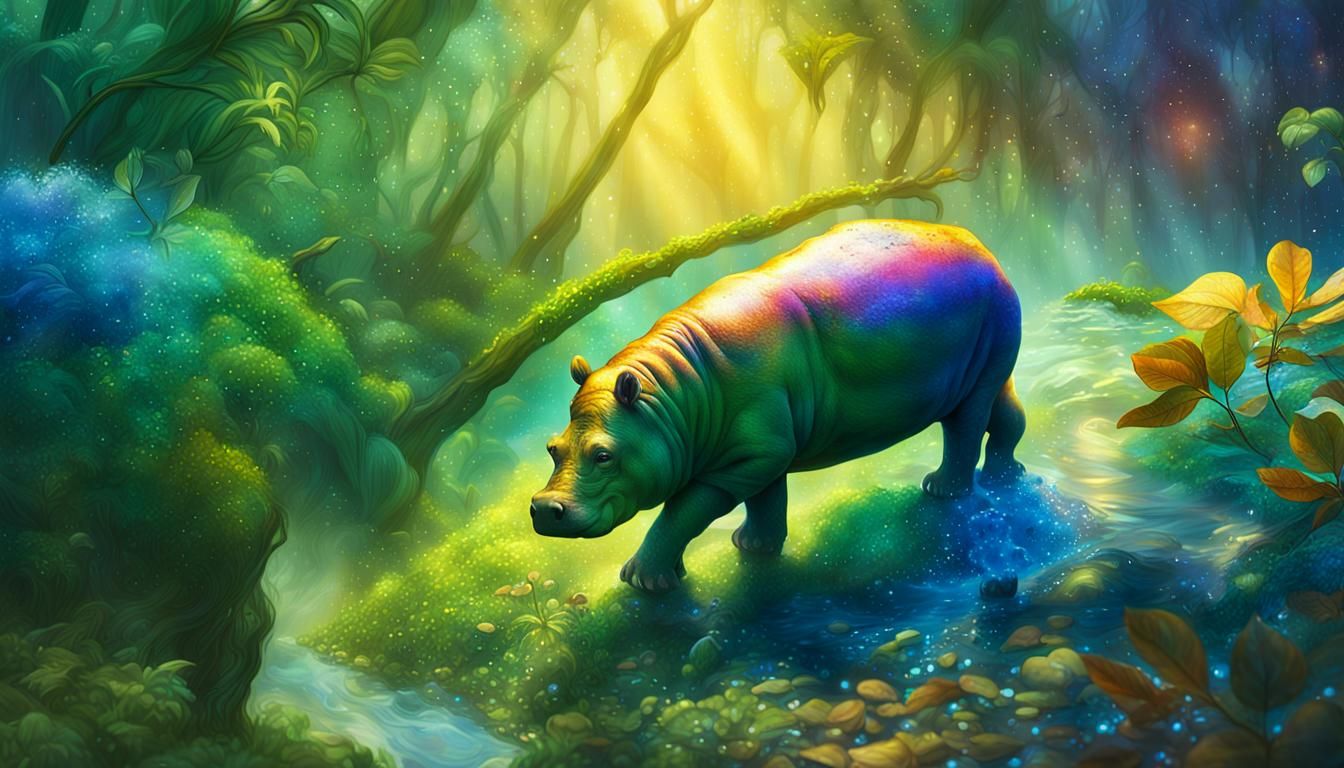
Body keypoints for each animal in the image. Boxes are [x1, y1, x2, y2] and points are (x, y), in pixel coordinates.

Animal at [530, 219, 1024, 592]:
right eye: (552, 447)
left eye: (603, 454)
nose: (543, 508)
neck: (670, 398)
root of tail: (981, 246)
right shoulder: (762, 452)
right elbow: (766, 500)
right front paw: (753, 547)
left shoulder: (741, 461)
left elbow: (682, 512)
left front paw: (642, 581)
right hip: (986, 360)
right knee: (1002, 410)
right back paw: (1005, 475)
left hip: (991, 328)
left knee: (964, 425)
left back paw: (941, 490)